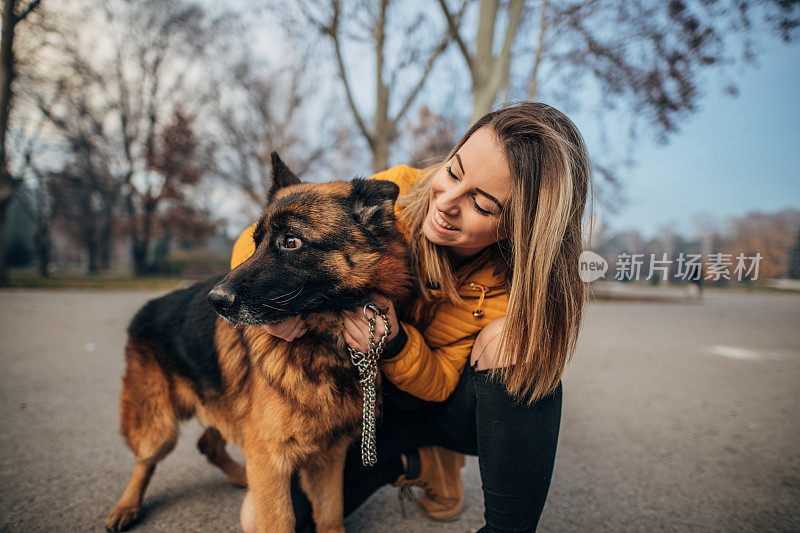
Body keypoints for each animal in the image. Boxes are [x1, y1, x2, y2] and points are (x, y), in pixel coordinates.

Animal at [104, 152, 412, 528]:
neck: (323, 342)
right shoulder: (271, 462)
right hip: (158, 425)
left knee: (208, 443)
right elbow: (280, 522)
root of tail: (147, 307)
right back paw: (127, 506)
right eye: (256, 241)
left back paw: (239, 477)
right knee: (146, 461)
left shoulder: (326, 458)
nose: (215, 301)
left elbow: (330, 517)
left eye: (291, 241)